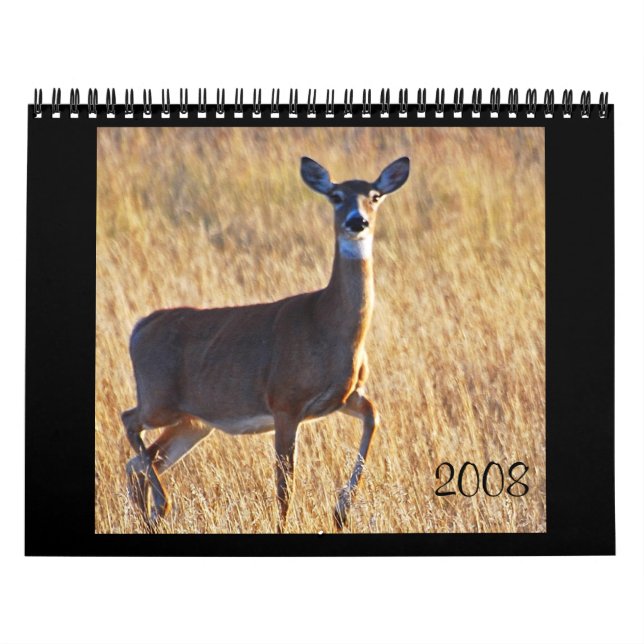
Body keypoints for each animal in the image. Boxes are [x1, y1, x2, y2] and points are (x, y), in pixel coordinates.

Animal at [123, 155, 410, 531]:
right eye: (335, 196)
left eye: (374, 196)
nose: (356, 221)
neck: (327, 324)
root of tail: (139, 328)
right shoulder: (284, 402)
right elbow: (284, 484)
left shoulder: (345, 396)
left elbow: (374, 417)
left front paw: (341, 510)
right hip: (158, 400)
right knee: (130, 424)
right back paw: (162, 504)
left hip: (194, 421)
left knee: (140, 464)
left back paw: (151, 516)